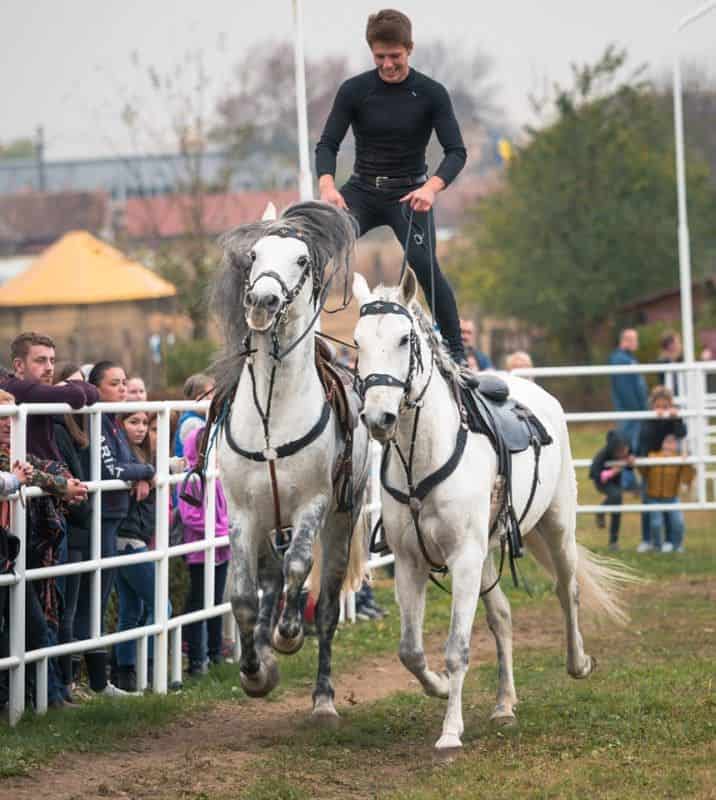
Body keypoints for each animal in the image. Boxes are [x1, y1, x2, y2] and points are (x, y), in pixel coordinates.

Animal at [213, 202, 370, 724]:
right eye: (254, 254)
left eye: (301, 260)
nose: (262, 301)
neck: (272, 410)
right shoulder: (243, 512)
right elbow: (242, 597)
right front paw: (254, 671)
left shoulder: (313, 506)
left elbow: (300, 569)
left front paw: (287, 636)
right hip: (267, 524)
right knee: (268, 580)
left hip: (340, 522)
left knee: (324, 603)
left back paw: (322, 696)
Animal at [352, 268, 632, 752]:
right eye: (357, 341)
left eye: (405, 339)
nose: (378, 418)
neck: (424, 454)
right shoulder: (411, 561)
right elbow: (411, 650)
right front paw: (440, 686)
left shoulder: (463, 558)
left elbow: (457, 647)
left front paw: (450, 732)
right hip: (487, 550)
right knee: (501, 616)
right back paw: (504, 704)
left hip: (556, 528)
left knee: (568, 590)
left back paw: (578, 662)